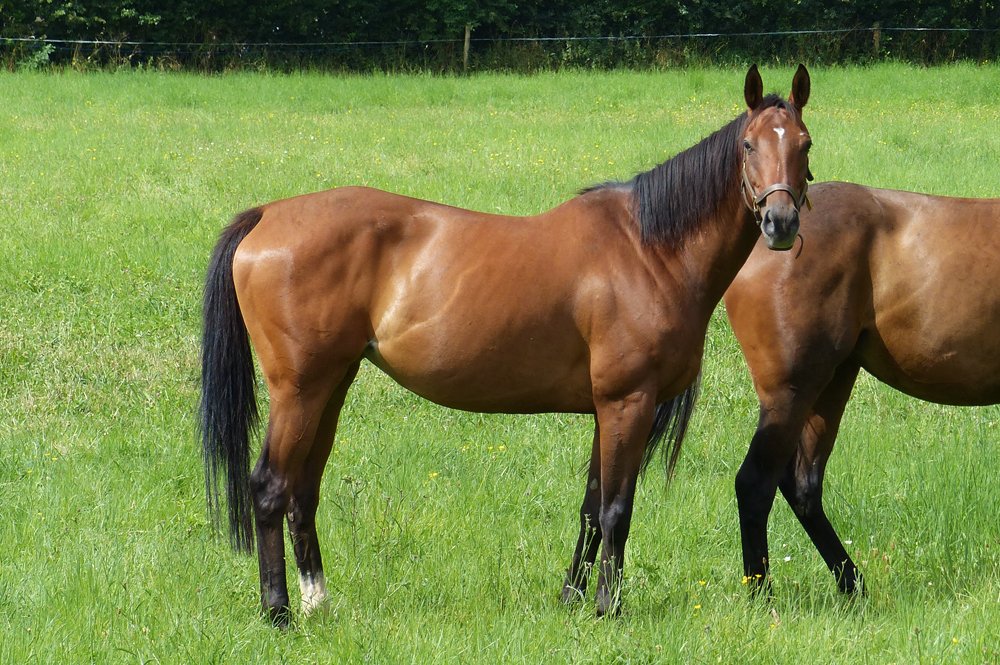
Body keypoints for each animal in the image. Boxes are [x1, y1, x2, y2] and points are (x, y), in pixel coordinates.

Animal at [200, 64, 813, 626]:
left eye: (805, 143)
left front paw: (571, 599)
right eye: (749, 144)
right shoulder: (628, 402)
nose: (780, 222)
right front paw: (607, 608)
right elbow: (617, 509)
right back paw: (277, 611)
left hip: (332, 384)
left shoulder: (605, 409)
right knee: (269, 486)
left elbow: (591, 507)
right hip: (299, 389)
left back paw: (317, 602)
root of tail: (267, 216)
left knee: (303, 489)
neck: (649, 250)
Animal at [724, 181, 1000, 596]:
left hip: (831, 383)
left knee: (803, 486)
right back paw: (762, 594)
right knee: (755, 484)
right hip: (792, 392)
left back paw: (853, 587)